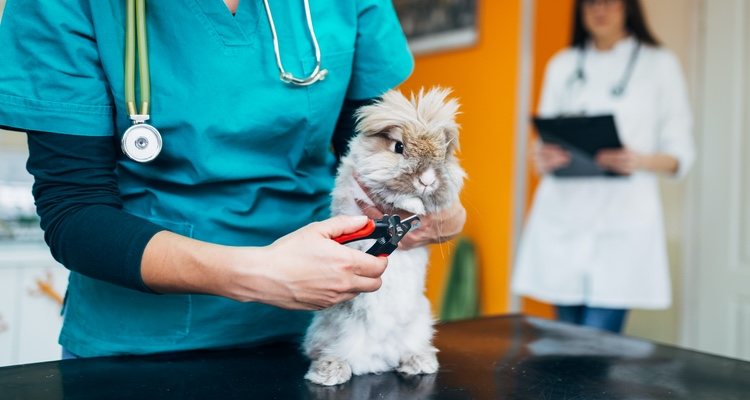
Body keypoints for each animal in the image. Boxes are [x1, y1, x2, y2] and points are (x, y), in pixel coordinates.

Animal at [304, 86, 468, 384]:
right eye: (398, 147)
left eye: (443, 155)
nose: (427, 181)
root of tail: (377, 359)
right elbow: (391, 194)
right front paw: (415, 204)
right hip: (328, 331)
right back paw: (331, 372)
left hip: (419, 325)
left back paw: (419, 362)